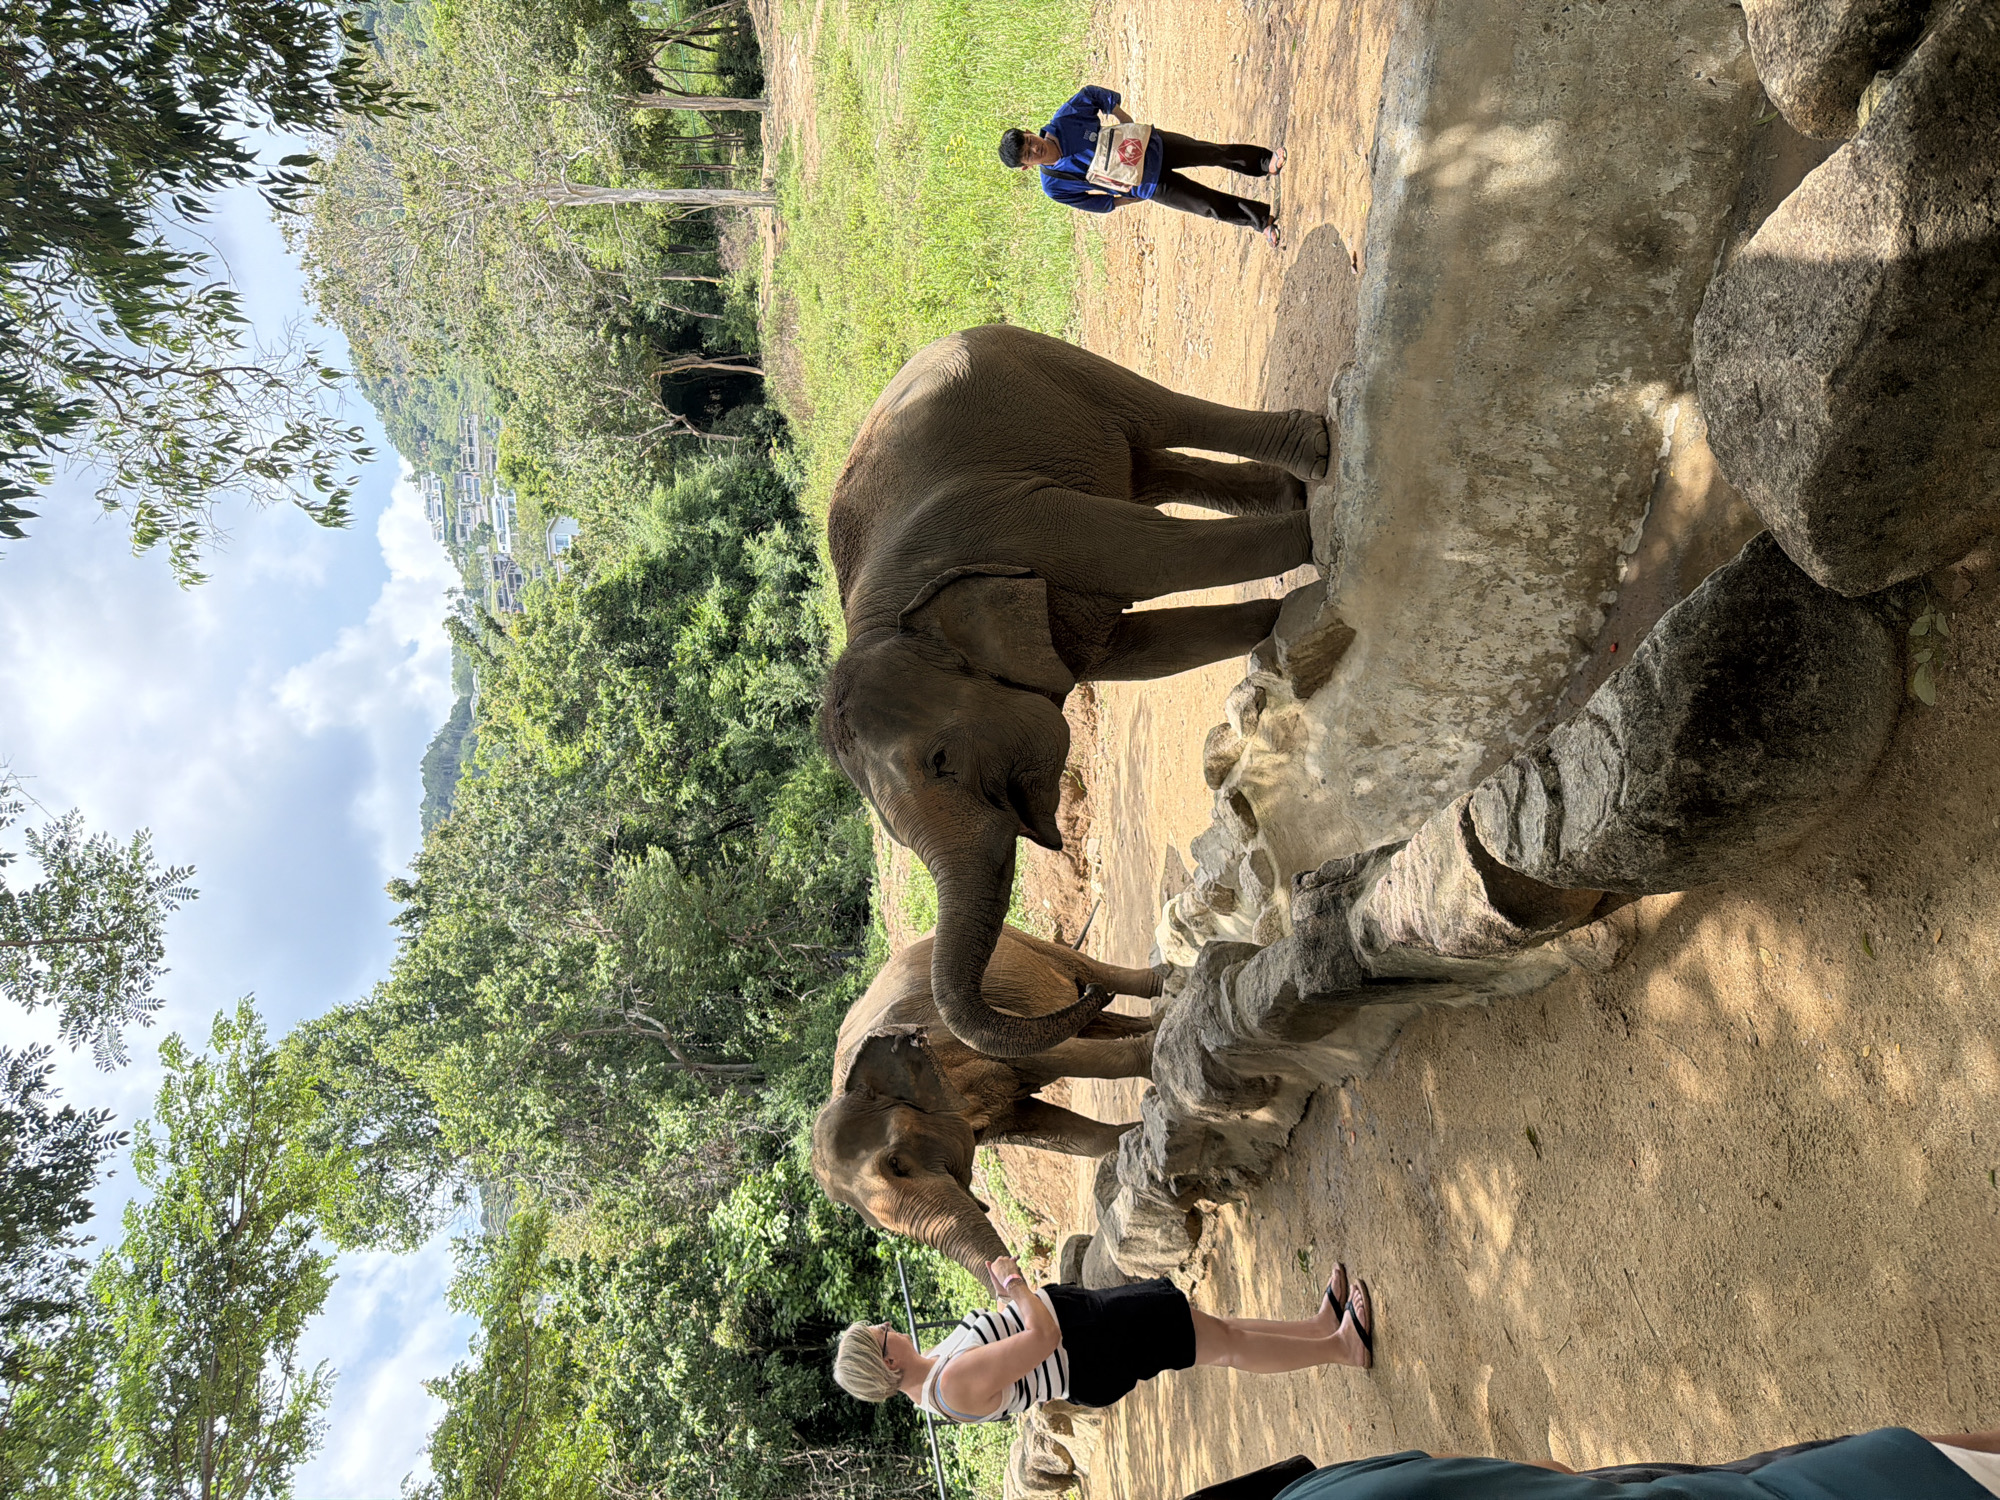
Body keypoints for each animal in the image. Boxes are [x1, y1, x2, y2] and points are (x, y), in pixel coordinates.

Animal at [810, 923, 1160, 1280]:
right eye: (880, 1227)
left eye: (897, 1164)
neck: (843, 1089)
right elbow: (1051, 1130)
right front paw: (1131, 1139)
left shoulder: (951, 1038)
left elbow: (1056, 1058)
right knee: (1094, 1023)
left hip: (1024, 943)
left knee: (1090, 973)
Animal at [819, 323, 1327, 1057]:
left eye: (942, 761)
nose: (1093, 989)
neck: (885, 621)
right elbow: (1149, 649)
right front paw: (1284, 623)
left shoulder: (1015, 521)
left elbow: (1148, 554)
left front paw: (1324, 543)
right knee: (1148, 468)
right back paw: (1294, 488)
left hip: (1041, 362)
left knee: (1155, 417)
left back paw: (1317, 459)